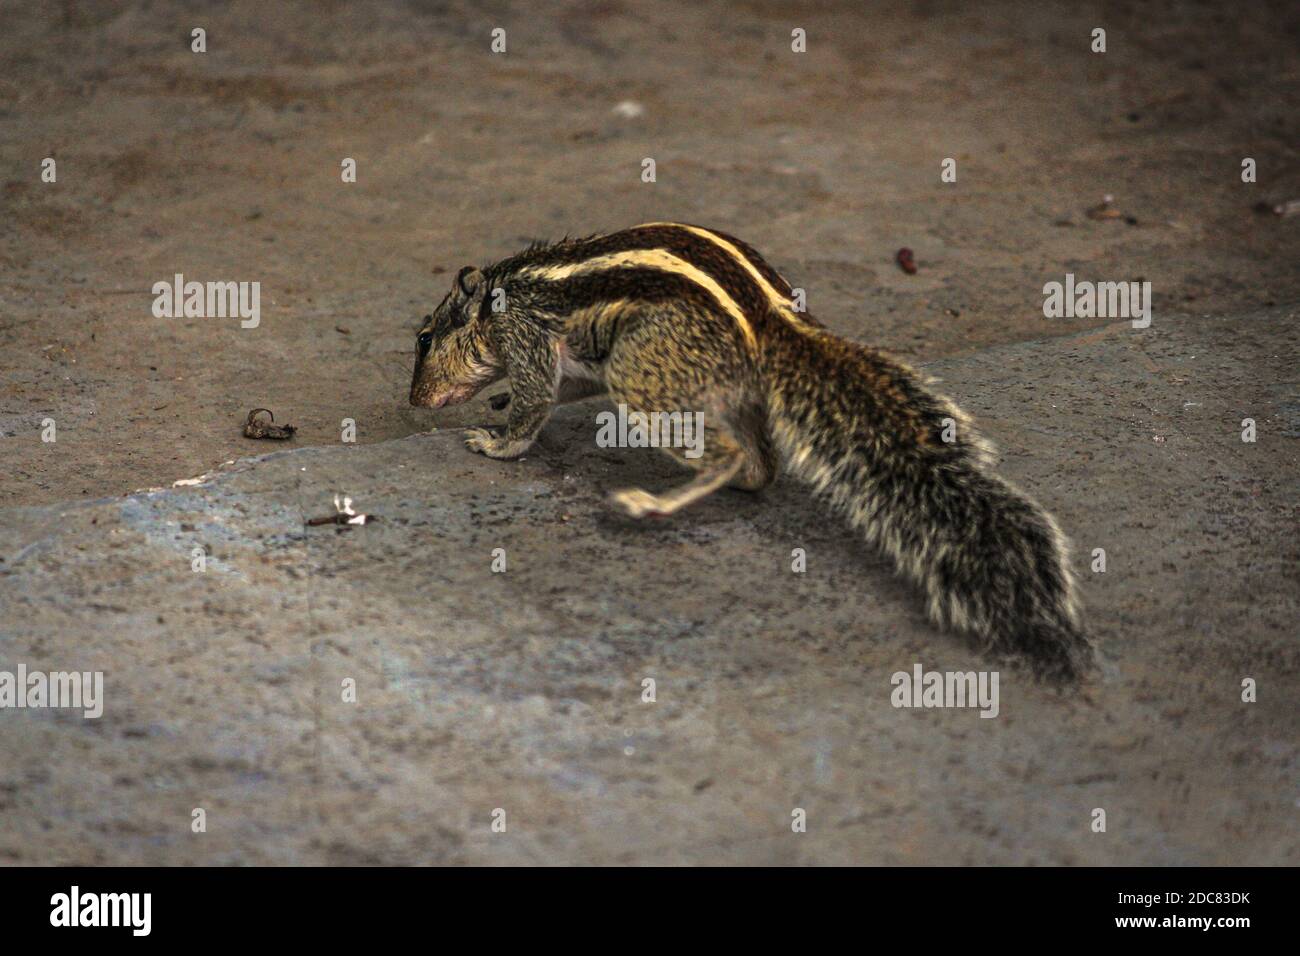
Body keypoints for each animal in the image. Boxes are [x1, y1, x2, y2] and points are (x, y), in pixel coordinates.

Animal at [409, 222, 1094, 682]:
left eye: (423, 339)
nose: (415, 401)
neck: (500, 293)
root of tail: (772, 321)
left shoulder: (524, 335)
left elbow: (533, 403)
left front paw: (496, 441)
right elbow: (559, 389)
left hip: (644, 372)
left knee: (727, 455)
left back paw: (653, 504)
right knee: (760, 464)